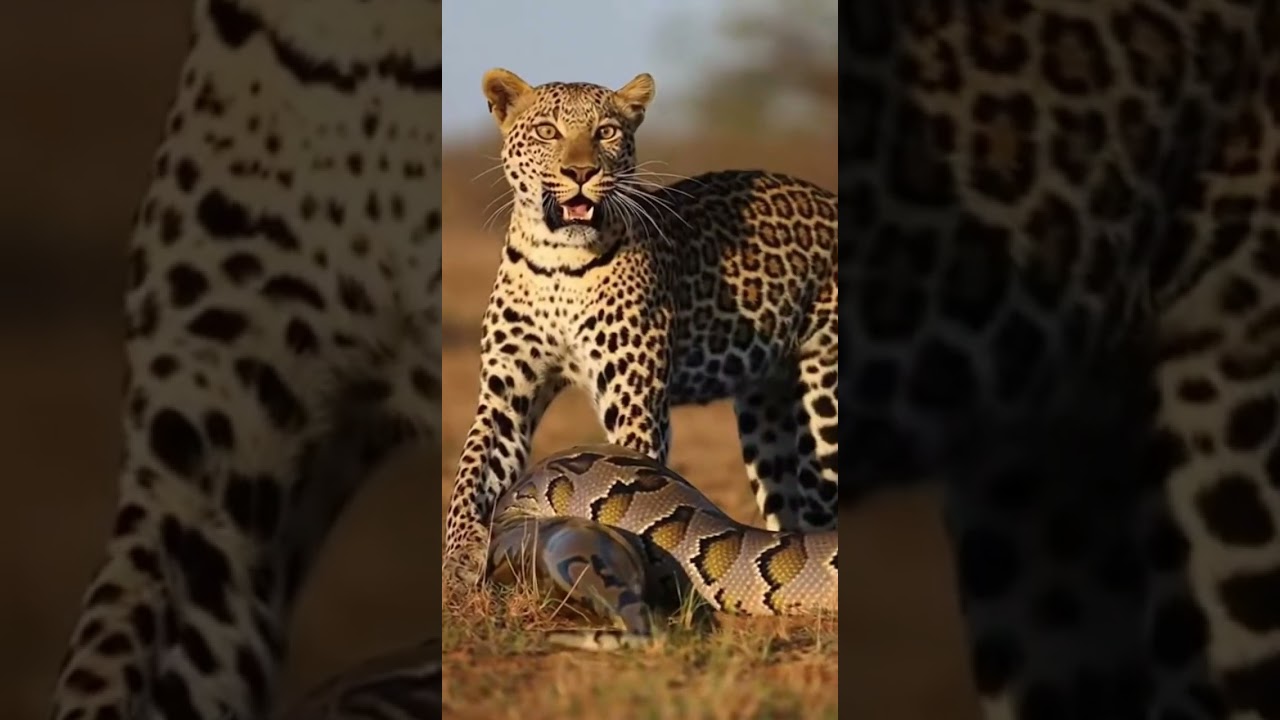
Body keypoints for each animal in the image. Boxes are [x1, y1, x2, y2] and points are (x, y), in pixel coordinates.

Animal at [440, 69, 839, 593]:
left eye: (606, 131)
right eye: (547, 131)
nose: (581, 173)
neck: (557, 260)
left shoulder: (631, 399)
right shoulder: (507, 388)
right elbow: (471, 469)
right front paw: (459, 557)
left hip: (827, 407)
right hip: (767, 414)